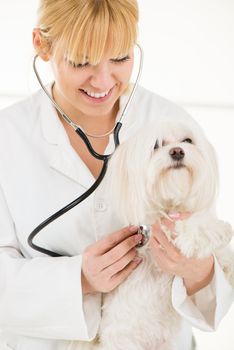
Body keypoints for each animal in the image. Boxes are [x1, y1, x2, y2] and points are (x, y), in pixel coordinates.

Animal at [74, 118, 233, 350]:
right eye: (156, 145)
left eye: (187, 141)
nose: (177, 151)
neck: (171, 203)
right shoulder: (160, 227)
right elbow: (175, 226)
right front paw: (199, 234)